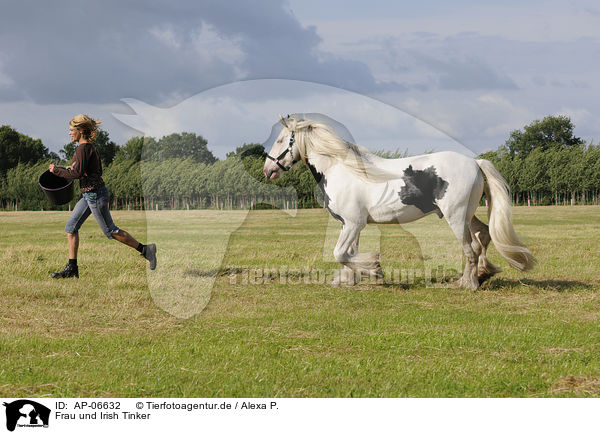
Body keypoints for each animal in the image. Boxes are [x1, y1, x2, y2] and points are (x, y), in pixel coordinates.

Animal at [262, 115, 536, 290]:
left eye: (281, 140)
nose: (267, 170)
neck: (341, 169)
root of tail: (475, 162)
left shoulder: (352, 224)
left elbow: (340, 253)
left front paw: (374, 269)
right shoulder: (350, 225)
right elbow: (349, 254)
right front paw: (348, 279)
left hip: (456, 217)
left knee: (471, 248)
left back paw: (467, 284)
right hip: (468, 215)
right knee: (483, 235)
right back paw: (482, 274)